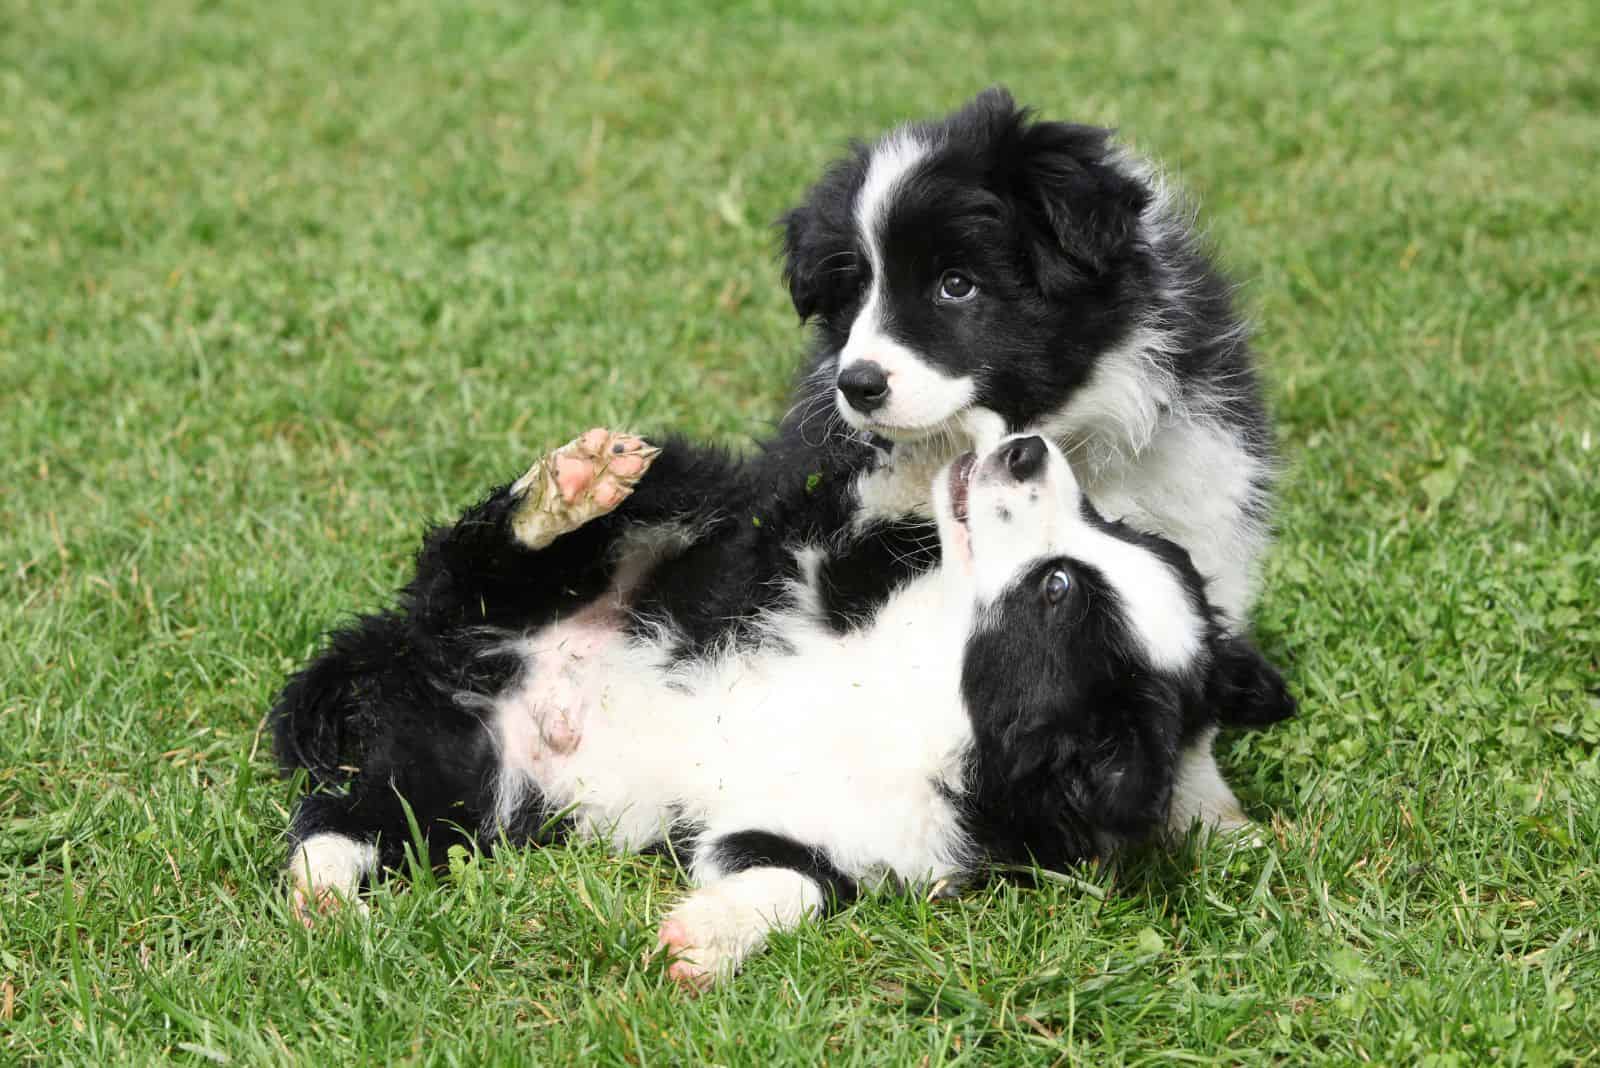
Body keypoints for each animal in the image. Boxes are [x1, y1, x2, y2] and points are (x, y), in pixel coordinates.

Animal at [278, 425, 1286, 984]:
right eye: (1108, 530)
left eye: (1057, 589)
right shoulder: (816, 558)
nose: (1026, 447)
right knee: (510, 552)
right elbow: (854, 503)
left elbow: (793, 886)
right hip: (602, 555)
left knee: (350, 817)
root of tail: (415, 645)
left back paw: (321, 897)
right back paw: (573, 488)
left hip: (469, 782)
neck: (934, 678)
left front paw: (703, 942)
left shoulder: (851, 842)